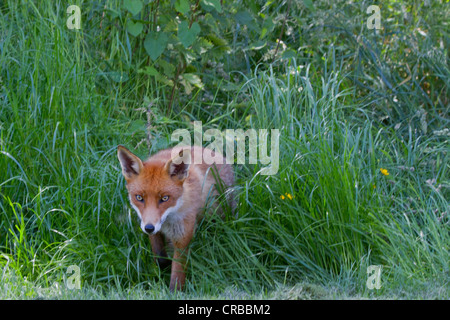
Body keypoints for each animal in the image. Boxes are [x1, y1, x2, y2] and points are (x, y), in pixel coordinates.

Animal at [116, 146, 236, 292]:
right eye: (139, 197)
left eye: (165, 198)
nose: (149, 228)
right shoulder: (150, 227)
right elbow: (160, 256)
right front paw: (163, 267)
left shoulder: (183, 235)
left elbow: (178, 269)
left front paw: (175, 291)